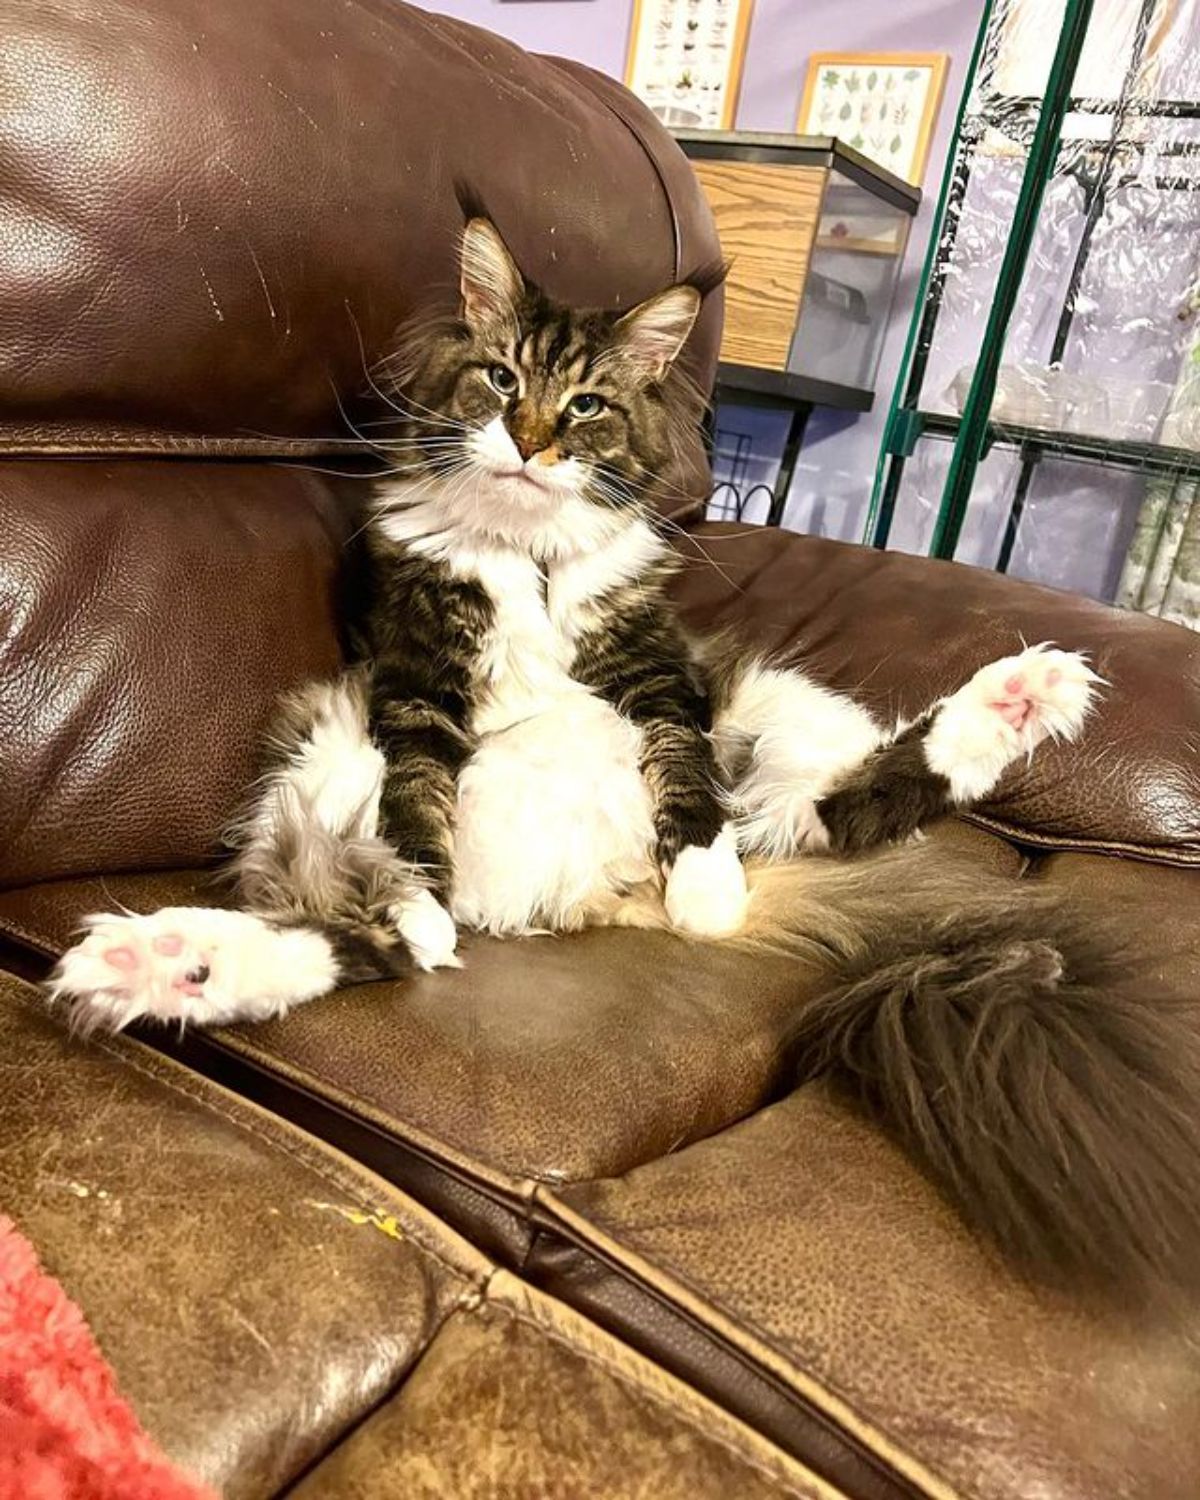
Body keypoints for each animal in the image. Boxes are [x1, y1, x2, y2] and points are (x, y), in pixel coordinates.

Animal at [49, 214, 1200, 1302]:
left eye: (589, 406)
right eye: (503, 380)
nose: (528, 443)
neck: (526, 550)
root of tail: (581, 887)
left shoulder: (662, 679)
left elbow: (688, 785)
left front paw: (703, 883)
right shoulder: (413, 688)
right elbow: (420, 814)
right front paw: (426, 892)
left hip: (776, 709)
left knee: (828, 811)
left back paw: (1014, 701)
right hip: (323, 768)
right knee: (358, 935)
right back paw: (167, 961)